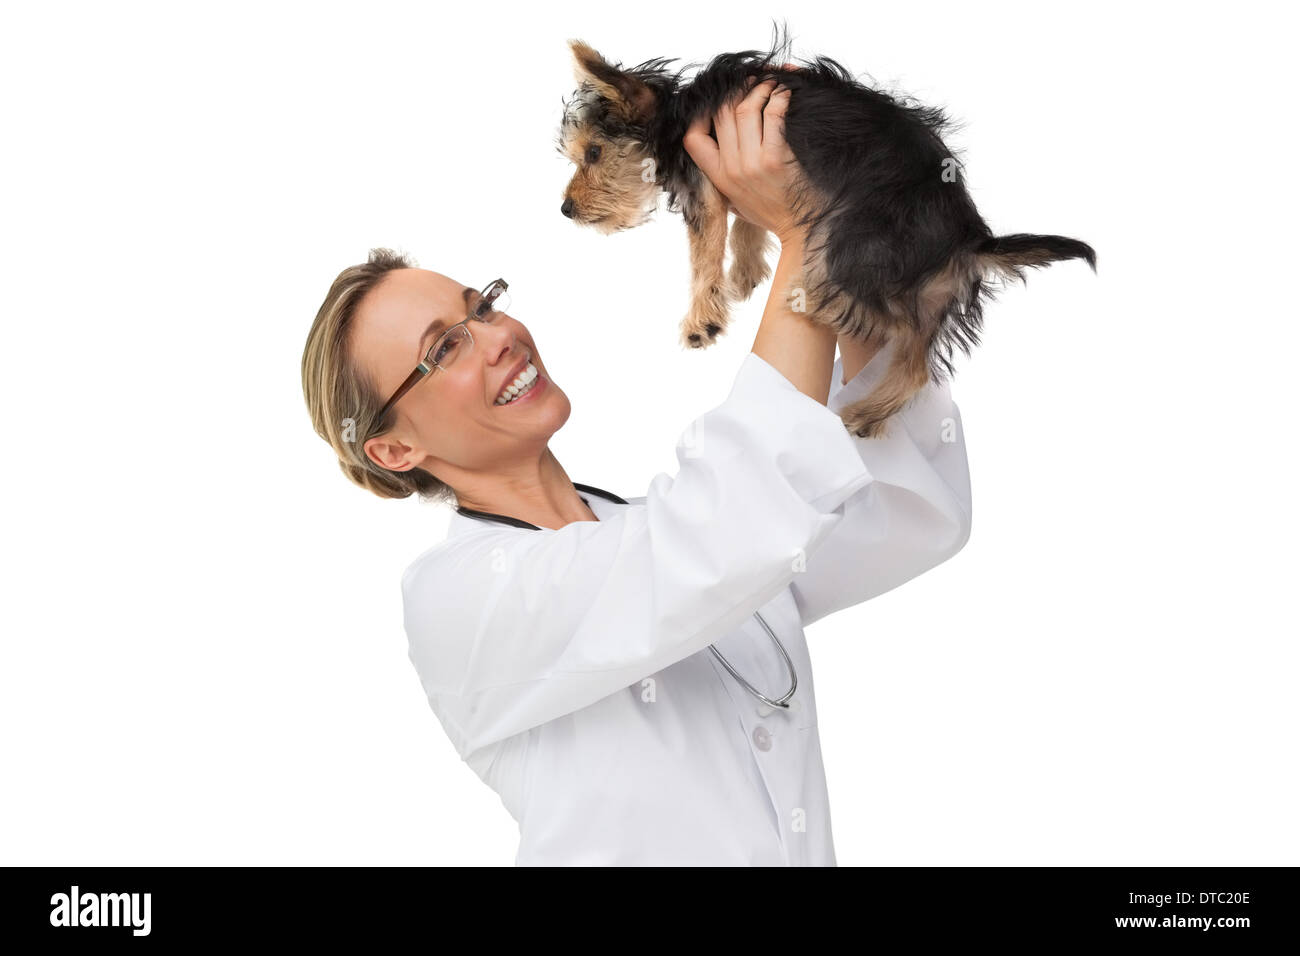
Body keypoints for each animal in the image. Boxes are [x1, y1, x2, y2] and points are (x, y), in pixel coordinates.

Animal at [559, 23, 1097, 437]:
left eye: (594, 154)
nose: (564, 209)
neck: (679, 113)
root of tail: (968, 240)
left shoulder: (704, 190)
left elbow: (705, 249)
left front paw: (702, 319)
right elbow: (745, 224)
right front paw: (746, 273)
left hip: (852, 249)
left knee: (899, 335)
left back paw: (816, 312)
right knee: (916, 359)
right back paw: (867, 414)